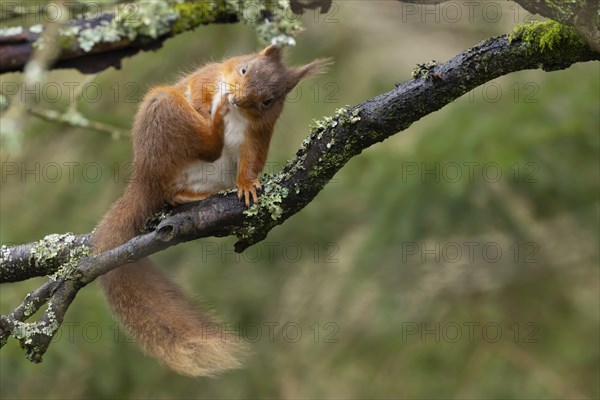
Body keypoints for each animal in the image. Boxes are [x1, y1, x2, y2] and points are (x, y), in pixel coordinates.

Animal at [91, 45, 330, 376]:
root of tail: (144, 177)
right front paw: (208, 106)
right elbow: (199, 89)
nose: (238, 98)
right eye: (244, 69)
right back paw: (214, 120)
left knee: (187, 180)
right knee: (199, 144)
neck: (238, 113)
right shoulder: (207, 77)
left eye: (268, 101)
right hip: (164, 109)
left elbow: (251, 160)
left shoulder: (259, 133)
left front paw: (247, 185)